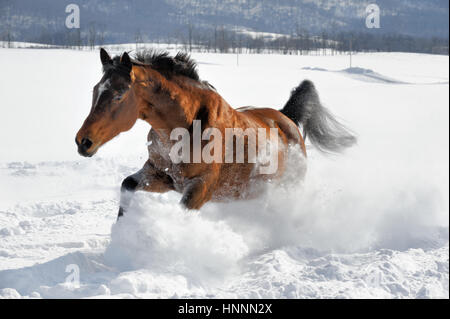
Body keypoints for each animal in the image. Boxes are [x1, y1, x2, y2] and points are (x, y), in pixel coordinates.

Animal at [74, 48, 356, 220]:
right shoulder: (161, 177)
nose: (83, 142)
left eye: (119, 95)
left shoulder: (201, 188)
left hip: (288, 187)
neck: (184, 129)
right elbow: (127, 186)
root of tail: (287, 118)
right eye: (95, 90)